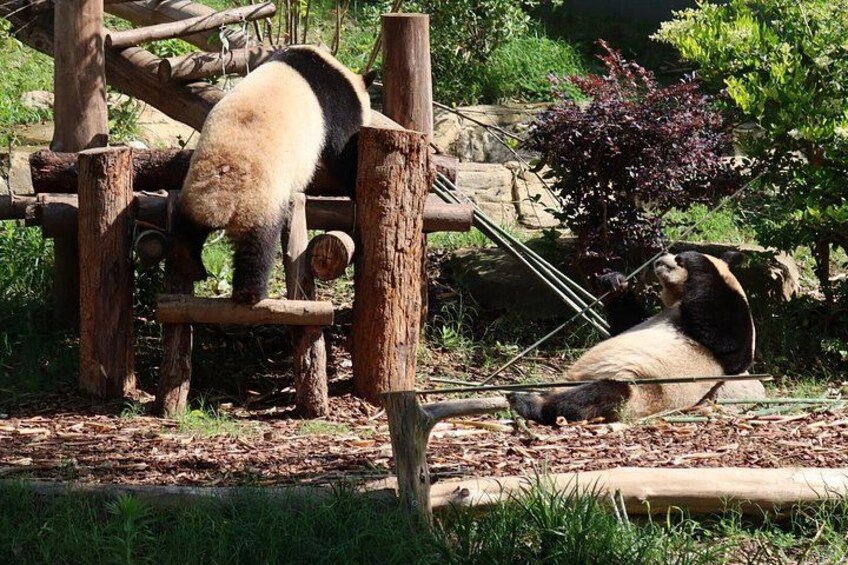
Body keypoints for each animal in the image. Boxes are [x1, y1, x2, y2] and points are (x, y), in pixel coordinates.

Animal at [168, 45, 375, 304]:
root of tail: (223, 189)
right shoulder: (336, 103)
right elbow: (342, 153)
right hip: (259, 199)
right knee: (258, 245)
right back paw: (250, 293)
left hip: (196, 187)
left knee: (187, 226)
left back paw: (189, 263)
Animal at [508, 251, 766, 424]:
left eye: (676, 259)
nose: (662, 257)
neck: (678, 297)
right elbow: (628, 323)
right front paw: (614, 283)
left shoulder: (736, 335)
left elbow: (726, 339)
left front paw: (693, 259)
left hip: (642, 389)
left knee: (597, 397)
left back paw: (528, 402)